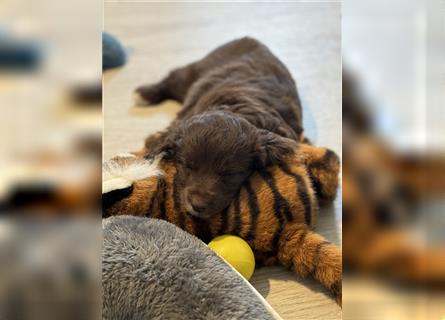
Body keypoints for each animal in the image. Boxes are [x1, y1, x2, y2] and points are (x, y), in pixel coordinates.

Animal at [135, 36, 306, 219]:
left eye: (229, 173)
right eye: (188, 166)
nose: (198, 205)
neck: (235, 107)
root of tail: (249, 38)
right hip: (193, 73)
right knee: (173, 77)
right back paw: (145, 93)